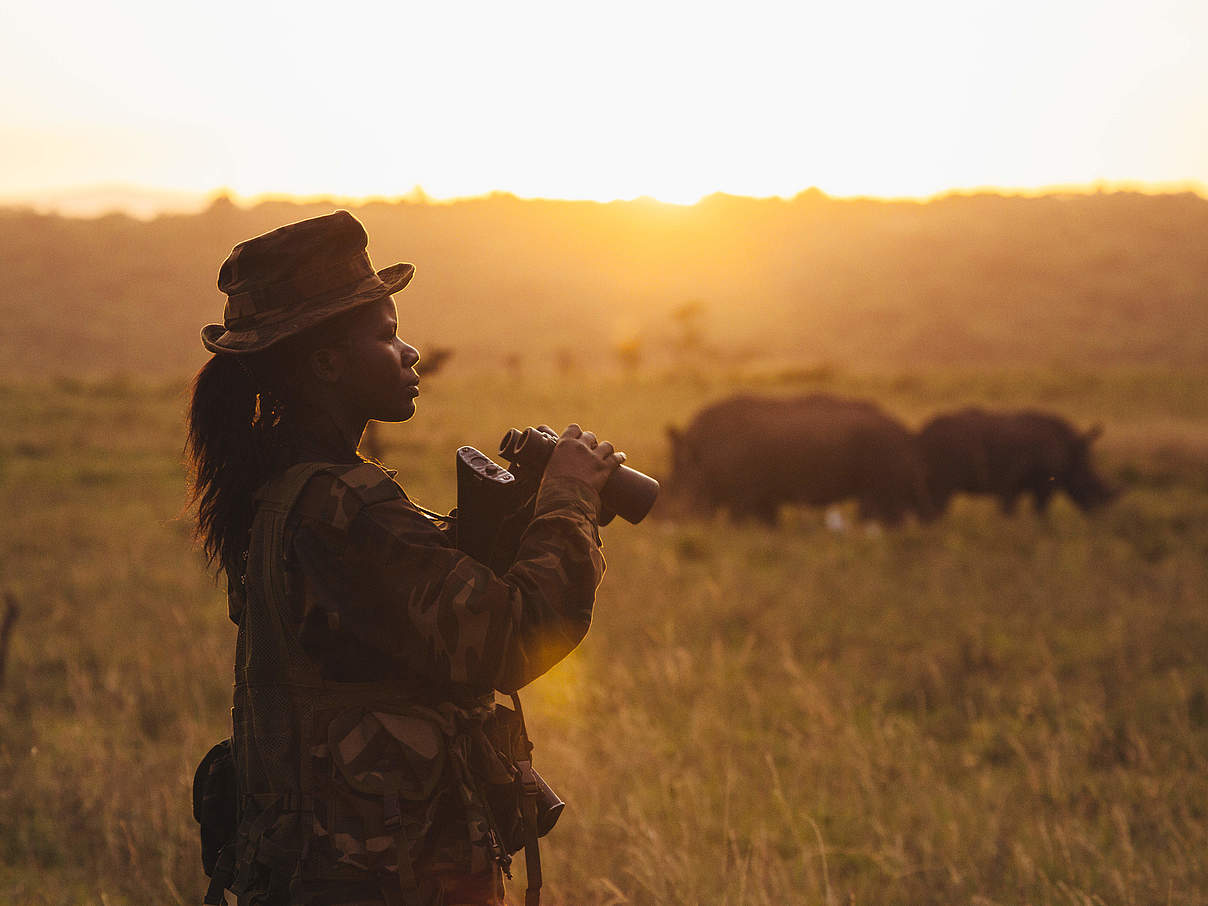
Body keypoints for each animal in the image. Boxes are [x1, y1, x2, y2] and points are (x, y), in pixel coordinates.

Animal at [661, 393, 932, 529]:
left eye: (676, 489)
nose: (663, 520)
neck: (698, 457)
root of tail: (908, 436)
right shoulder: (761, 494)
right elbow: (768, 523)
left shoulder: (745, 494)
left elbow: (741, 522)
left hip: (883, 450)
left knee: (879, 507)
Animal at [922, 405, 1111, 514]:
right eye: (1090, 483)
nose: (1099, 514)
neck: (1072, 451)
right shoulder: (1043, 481)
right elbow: (1040, 509)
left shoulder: (1015, 483)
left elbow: (1015, 508)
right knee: (941, 493)